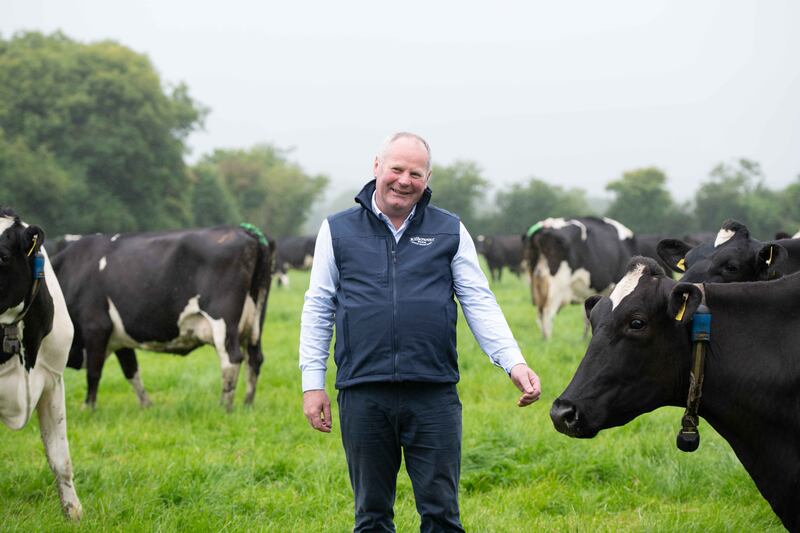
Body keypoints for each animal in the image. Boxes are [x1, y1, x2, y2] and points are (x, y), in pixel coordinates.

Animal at [52, 222, 276, 410]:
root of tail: (246, 231)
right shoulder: (120, 337)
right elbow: (131, 371)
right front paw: (146, 405)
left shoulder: (96, 327)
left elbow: (94, 371)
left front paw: (88, 407)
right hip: (256, 323)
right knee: (255, 359)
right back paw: (247, 404)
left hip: (223, 320)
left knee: (232, 359)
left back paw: (224, 406)